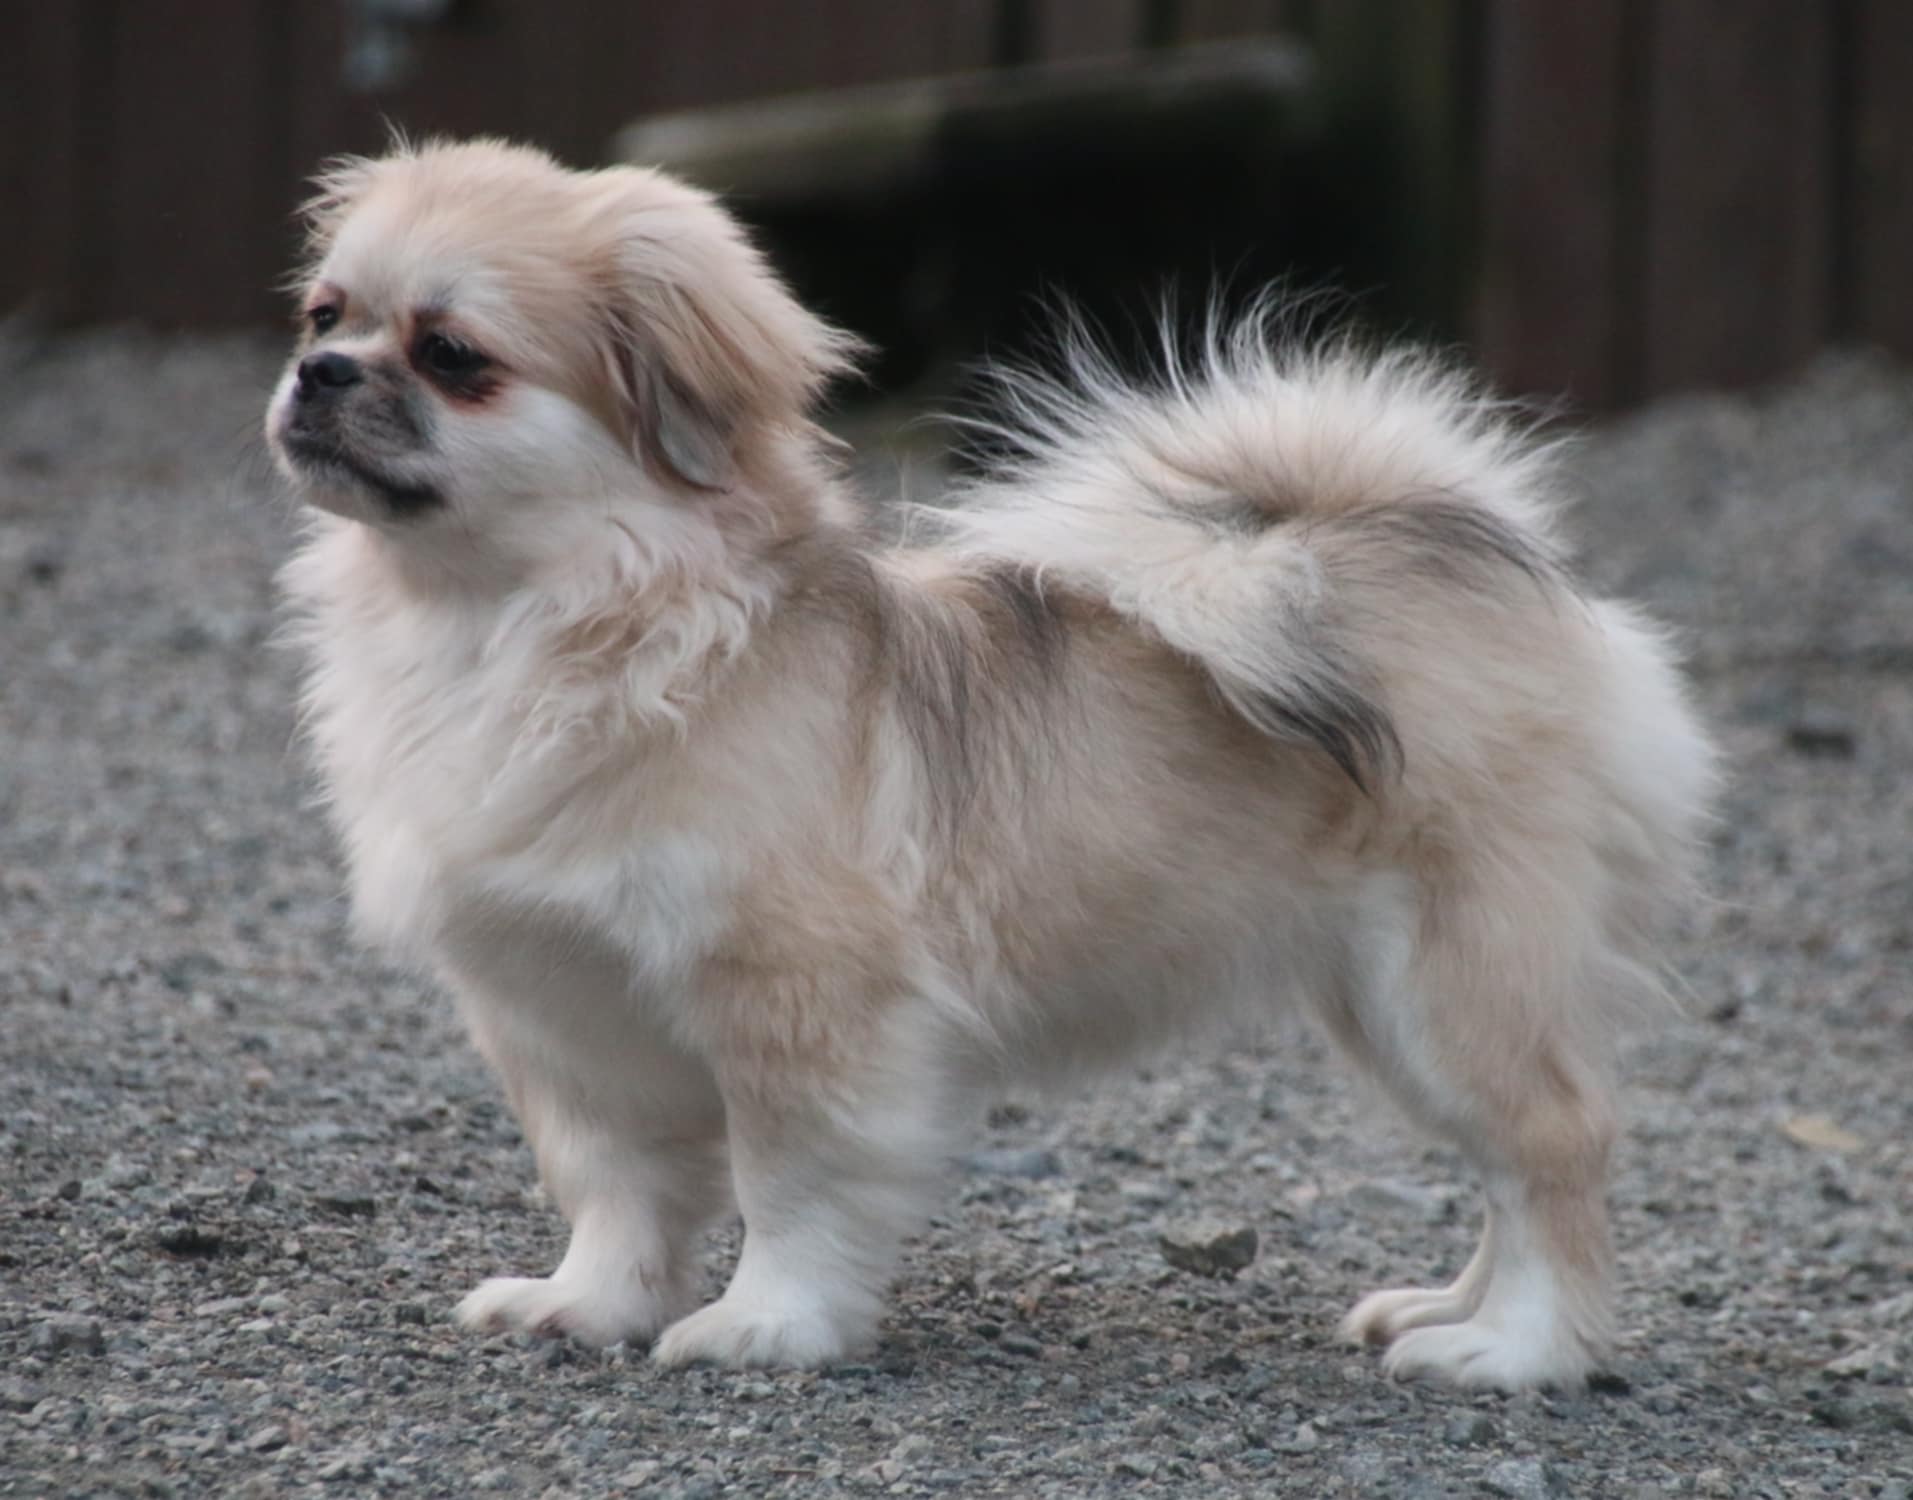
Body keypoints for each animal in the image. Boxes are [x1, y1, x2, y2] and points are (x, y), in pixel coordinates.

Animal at [265, 134, 1721, 1385]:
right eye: (324, 316)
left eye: (454, 356)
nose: (321, 374)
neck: (508, 624)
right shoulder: (568, 1022)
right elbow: (615, 1191)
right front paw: (587, 1306)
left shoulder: (799, 1003)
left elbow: (789, 1182)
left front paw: (766, 1325)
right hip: (1384, 1006)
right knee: (1504, 1166)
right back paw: (1443, 1309)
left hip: (1448, 978)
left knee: (1554, 1146)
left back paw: (1516, 1350)